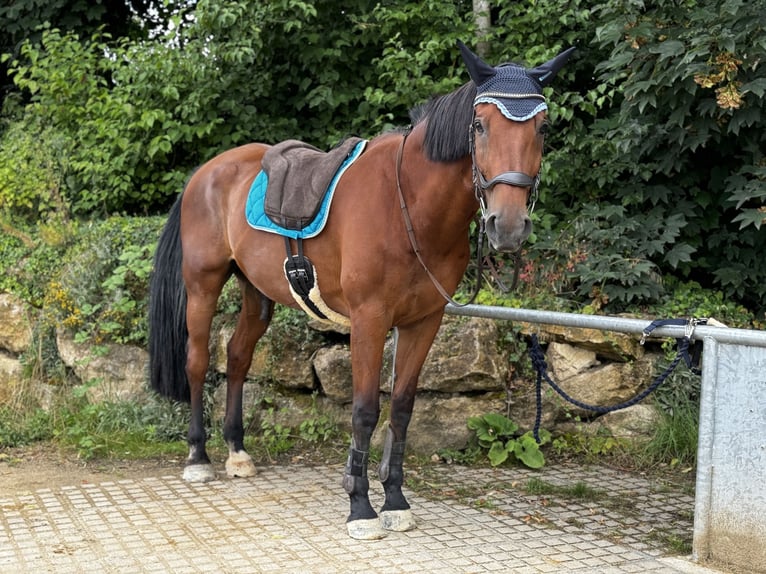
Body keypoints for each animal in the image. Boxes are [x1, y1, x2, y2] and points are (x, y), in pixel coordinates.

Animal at [148, 40, 576, 540]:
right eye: (479, 125)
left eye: (543, 128)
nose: (507, 225)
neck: (410, 205)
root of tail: (205, 172)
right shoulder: (369, 319)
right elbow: (366, 410)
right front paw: (360, 506)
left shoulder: (423, 321)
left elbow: (403, 408)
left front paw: (395, 500)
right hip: (203, 284)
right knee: (197, 362)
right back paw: (198, 456)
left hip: (256, 292)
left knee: (237, 357)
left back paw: (237, 452)